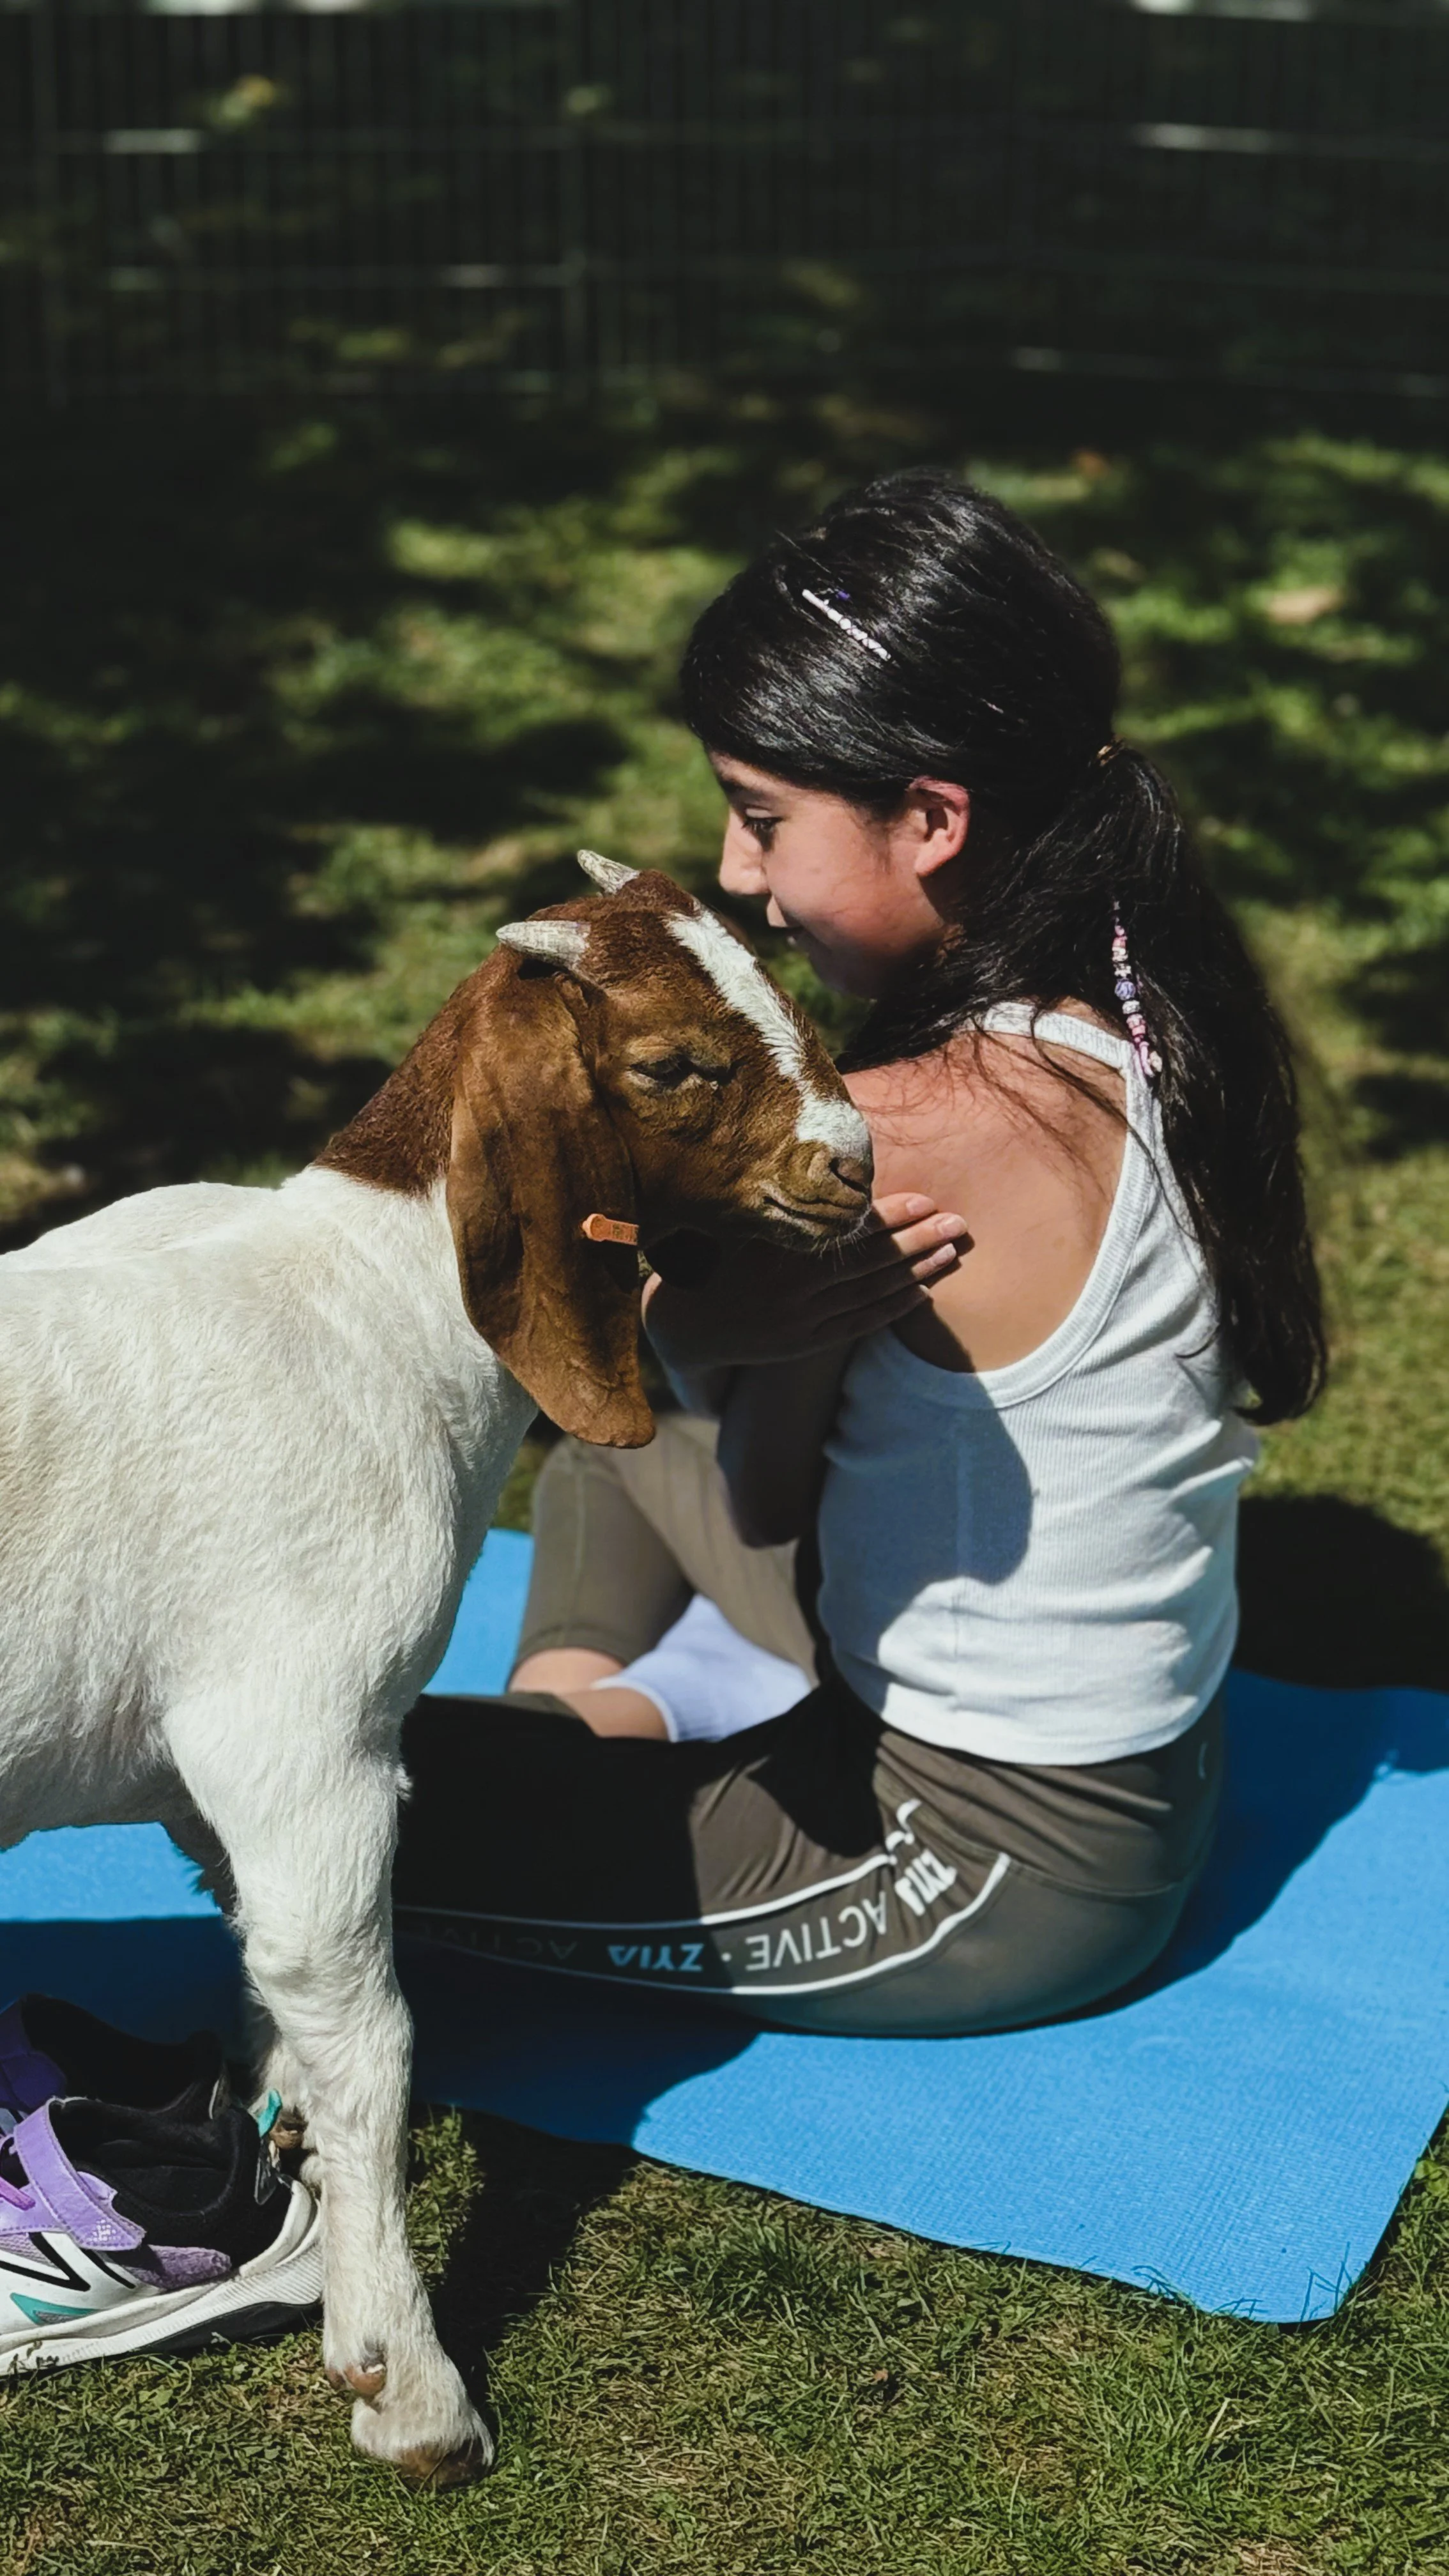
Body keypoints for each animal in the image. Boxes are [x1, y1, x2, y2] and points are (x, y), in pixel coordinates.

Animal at [0, 853, 872, 2484]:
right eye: (672, 1064)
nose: (855, 1164)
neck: (370, 1300)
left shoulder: (227, 1778)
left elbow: (271, 1971)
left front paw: (273, 2133)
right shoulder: (306, 1734)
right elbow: (370, 2035)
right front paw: (407, 2387)